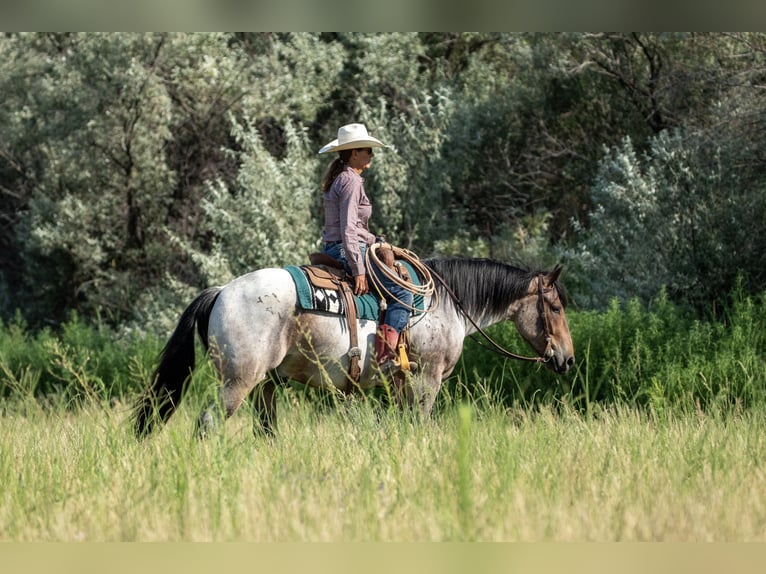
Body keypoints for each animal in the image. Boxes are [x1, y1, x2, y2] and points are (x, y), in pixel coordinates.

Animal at [134, 258, 576, 440]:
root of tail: (222, 290)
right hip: (236, 382)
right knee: (208, 422)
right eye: (555, 307)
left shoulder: (402, 384)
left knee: (266, 431)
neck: (442, 303)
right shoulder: (427, 380)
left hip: (266, 386)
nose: (567, 359)